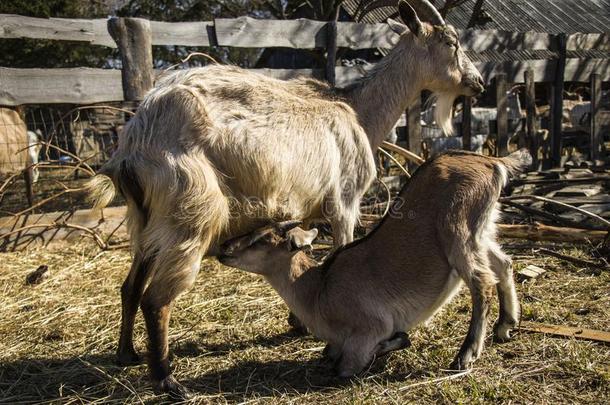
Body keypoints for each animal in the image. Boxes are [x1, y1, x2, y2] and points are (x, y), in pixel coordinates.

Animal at [88, 0, 482, 396]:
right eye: (452, 42)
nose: (477, 81)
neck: (356, 112)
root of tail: (134, 142)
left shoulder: (302, 207)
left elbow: (297, 245)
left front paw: (298, 321)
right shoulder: (344, 203)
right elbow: (340, 251)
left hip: (146, 221)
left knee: (130, 286)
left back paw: (126, 355)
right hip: (189, 213)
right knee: (157, 298)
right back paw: (166, 379)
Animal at [218, 149, 528, 376]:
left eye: (261, 239)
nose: (223, 249)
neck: (318, 290)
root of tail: (494, 162)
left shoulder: (369, 328)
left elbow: (344, 366)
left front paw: (400, 339)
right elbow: (328, 354)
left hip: (458, 231)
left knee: (481, 282)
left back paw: (465, 355)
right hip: (482, 230)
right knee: (504, 263)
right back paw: (505, 326)